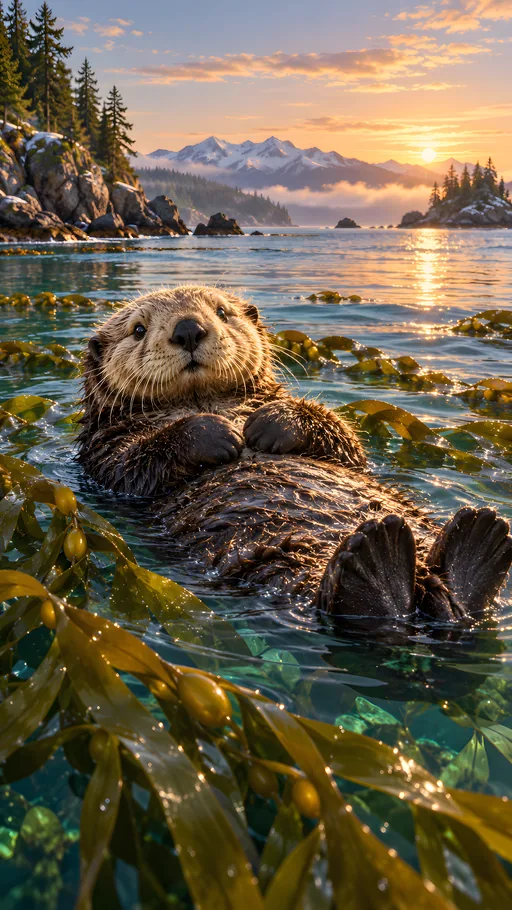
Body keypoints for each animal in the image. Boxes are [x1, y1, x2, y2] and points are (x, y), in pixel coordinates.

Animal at [78, 285, 512, 622]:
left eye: (222, 312)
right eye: (138, 330)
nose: (188, 329)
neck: (204, 400)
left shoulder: (333, 439)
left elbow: (344, 440)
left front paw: (267, 424)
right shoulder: (104, 452)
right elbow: (134, 466)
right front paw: (217, 433)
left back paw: (475, 542)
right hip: (275, 561)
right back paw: (387, 559)